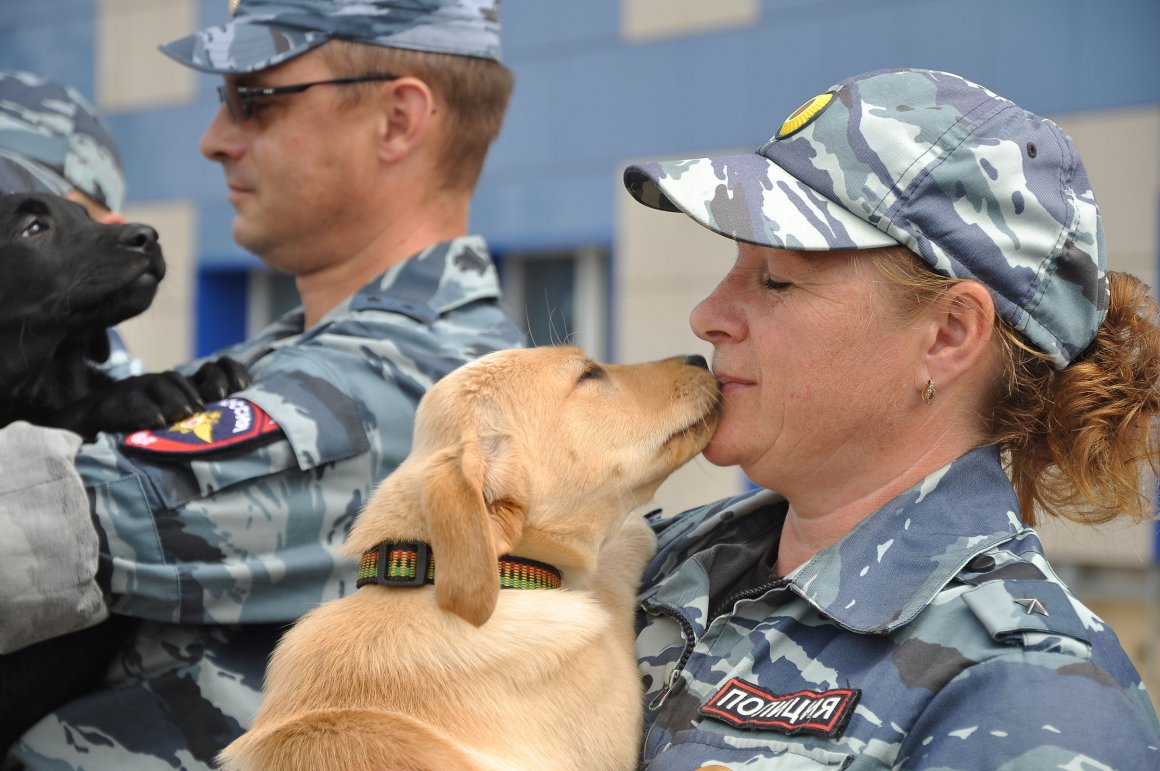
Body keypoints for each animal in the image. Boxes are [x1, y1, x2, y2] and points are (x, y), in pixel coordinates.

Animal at [0, 191, 251, 751]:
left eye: (85, 216)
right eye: (32, 228)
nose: (147, 235)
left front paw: (213, 373)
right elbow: (58, 416)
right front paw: (143, 389)